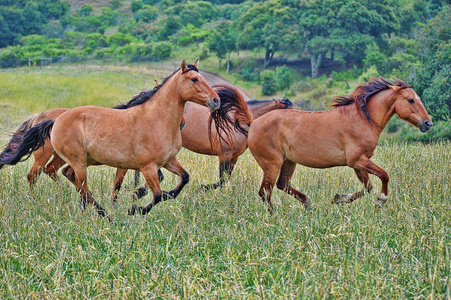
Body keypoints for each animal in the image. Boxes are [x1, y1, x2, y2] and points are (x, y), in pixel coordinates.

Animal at [247, 77, 434, 213]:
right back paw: (275, 216)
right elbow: (384, 176)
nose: (427, 124)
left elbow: (367, 187)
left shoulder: (359, 163)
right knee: (265, 191)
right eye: (410, 100)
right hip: (272, 163)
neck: (362, 119)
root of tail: (254, 124)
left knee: (282, 184)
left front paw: (338, 198)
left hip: (288, 161)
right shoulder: (357, 160)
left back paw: (310, 205)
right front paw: (380, 201)